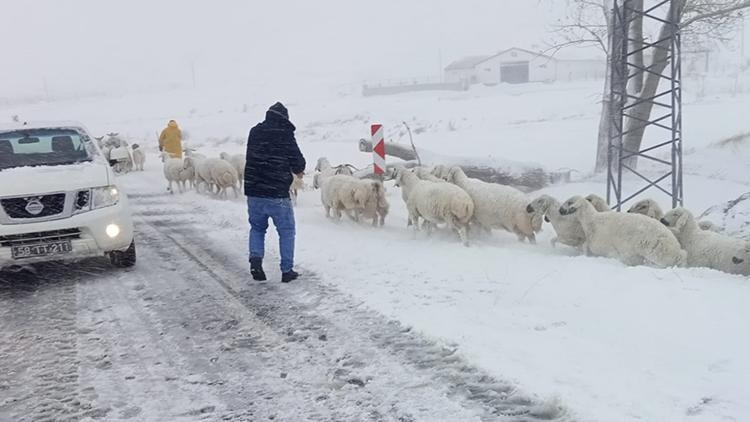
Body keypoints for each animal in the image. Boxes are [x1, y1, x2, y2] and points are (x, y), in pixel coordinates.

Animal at [560, 195, 688, 268]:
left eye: (569, 202)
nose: (560, 210)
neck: (592, 220)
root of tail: (676, 248)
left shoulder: (607, 247)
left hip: (656, 252)